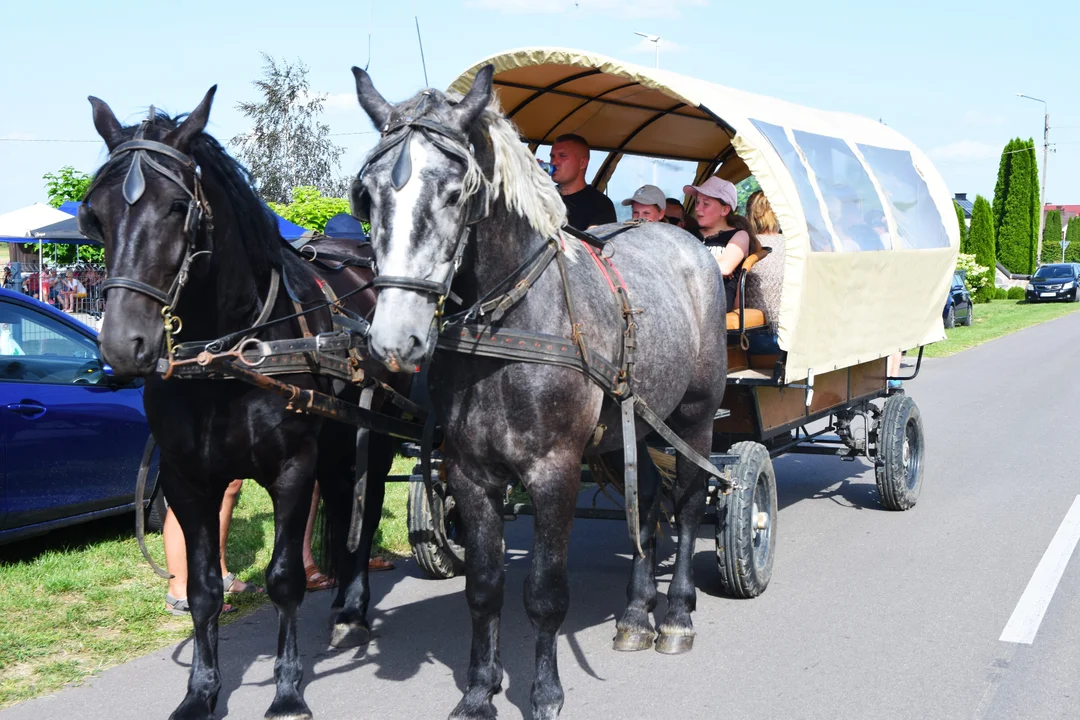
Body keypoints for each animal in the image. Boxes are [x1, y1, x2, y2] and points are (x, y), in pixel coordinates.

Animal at [81, 90, 401, 720]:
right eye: (94, 216)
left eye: (179, 206)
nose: (123, 346)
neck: (227, 358)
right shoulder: (187, 480)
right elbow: (203, 590)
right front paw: (200, 691)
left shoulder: (292, 469)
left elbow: (284, 579)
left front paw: (286, 691)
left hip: (374, 434)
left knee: (368, 502)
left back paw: (354, 607)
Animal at [349, 64, 730, 716]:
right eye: (367, 195)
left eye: (456, 192)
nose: (396, 339)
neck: (511, 324)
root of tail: (685, 240)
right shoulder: (469, 471)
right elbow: (484, 587)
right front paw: (480, 690)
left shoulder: (555, 470)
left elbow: (545, 592)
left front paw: (545, 692)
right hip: (635, 424)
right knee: (648, 504)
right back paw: (636, 614)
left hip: (695, 417)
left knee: (686, 502)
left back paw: (676, 615)